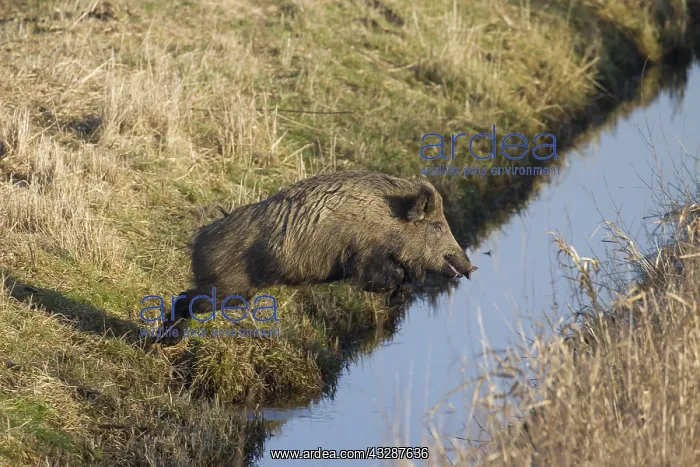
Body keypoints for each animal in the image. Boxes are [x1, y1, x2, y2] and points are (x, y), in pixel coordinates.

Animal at [157, 170, 476, 344]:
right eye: (437, 226)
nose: (472, 266)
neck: (386, 218)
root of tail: (201, 236)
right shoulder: (364, 257)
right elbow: (385, 277)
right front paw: (394, 295)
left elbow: (405, 277)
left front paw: (399, 297)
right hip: (229, 289)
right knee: (186, 298)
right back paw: (164, 341)